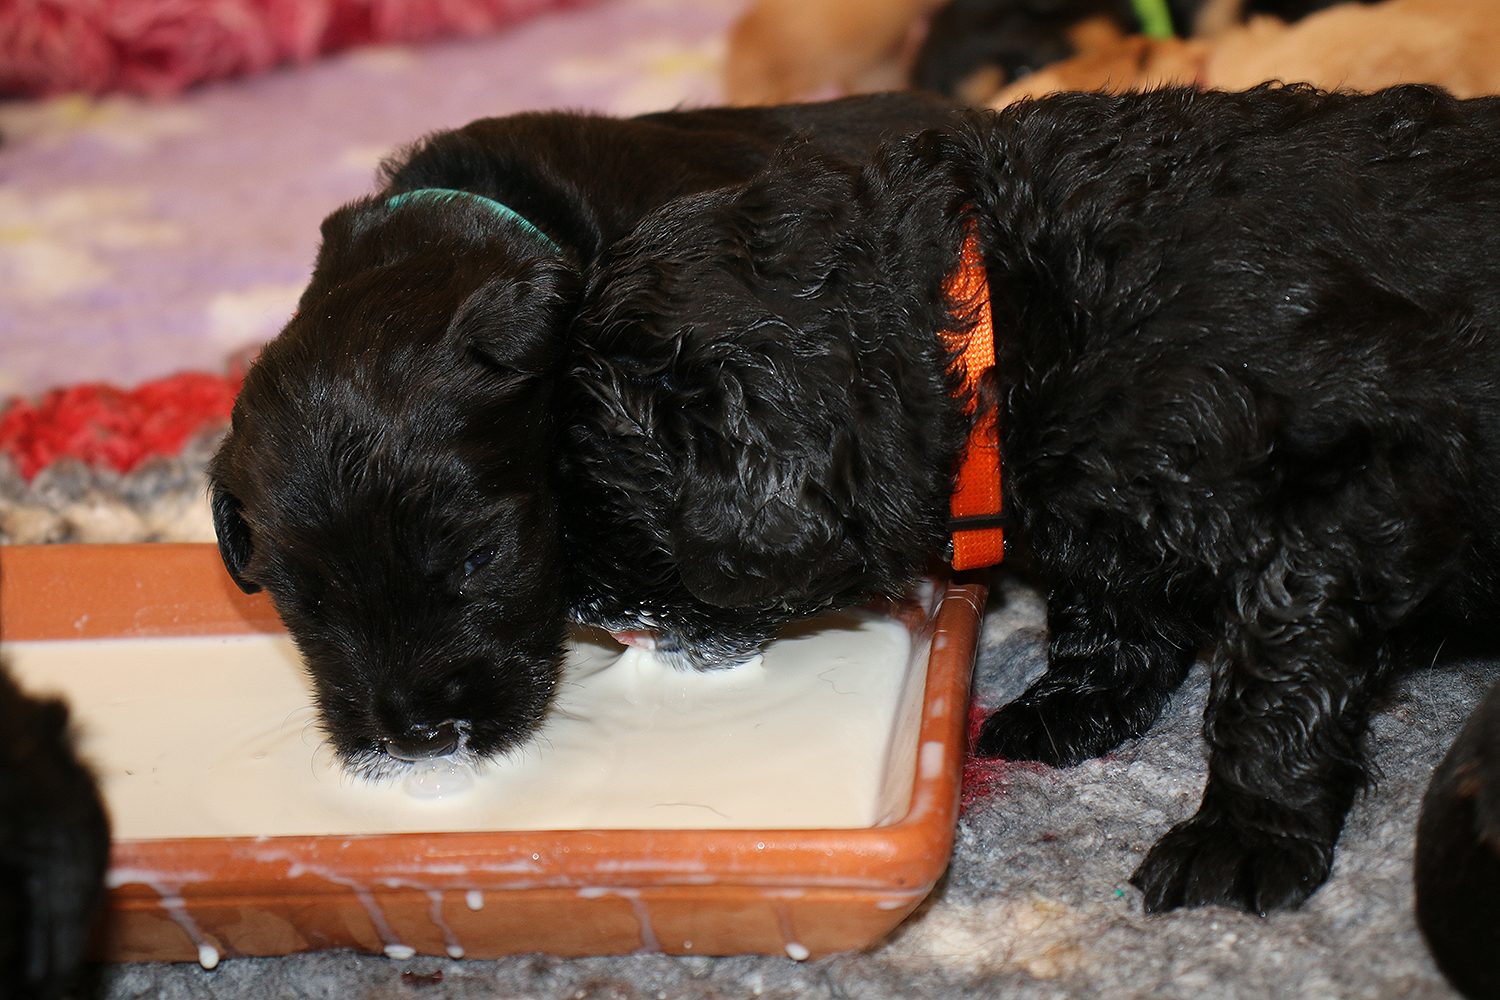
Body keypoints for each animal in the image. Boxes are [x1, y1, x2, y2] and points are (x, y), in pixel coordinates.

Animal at [210, 83, 1500, 915]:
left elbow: (1280, 664)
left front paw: (1241, 834)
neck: (998, 316)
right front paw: (1070, 707)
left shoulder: (1337, 499)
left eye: (497, 554)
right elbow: (1116, 594)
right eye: (302, 607)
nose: (420, 741)